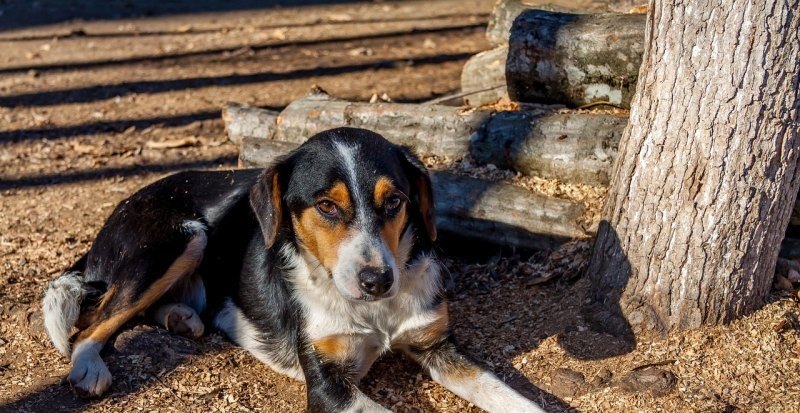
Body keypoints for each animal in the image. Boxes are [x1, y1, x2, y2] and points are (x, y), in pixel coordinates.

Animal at [42, 127, 544, 410]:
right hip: (181, 237)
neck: (372, 313)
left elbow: (511, 398)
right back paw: (88, 366)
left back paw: (181, 317)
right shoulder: (327, 385)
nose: (378, 281)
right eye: (325, 206)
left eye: (395, 202)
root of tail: (121, 208)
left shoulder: (438, 345)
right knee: (91, 322)